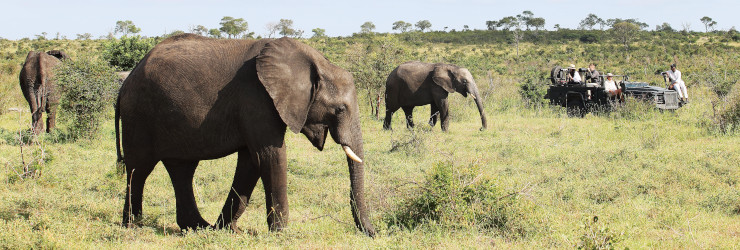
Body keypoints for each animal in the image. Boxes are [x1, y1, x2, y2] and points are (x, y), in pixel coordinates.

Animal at [115, 34, 376, 237]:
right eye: (340, 109)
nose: (373, 234)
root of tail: (128, 79)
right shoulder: (257, 99)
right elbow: (270, 156)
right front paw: (281, 234)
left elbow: (251, 162)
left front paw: (229, 230)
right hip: (139, 115)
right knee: (139, 168)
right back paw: (133, 227)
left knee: (182, 170)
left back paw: (198, 227)